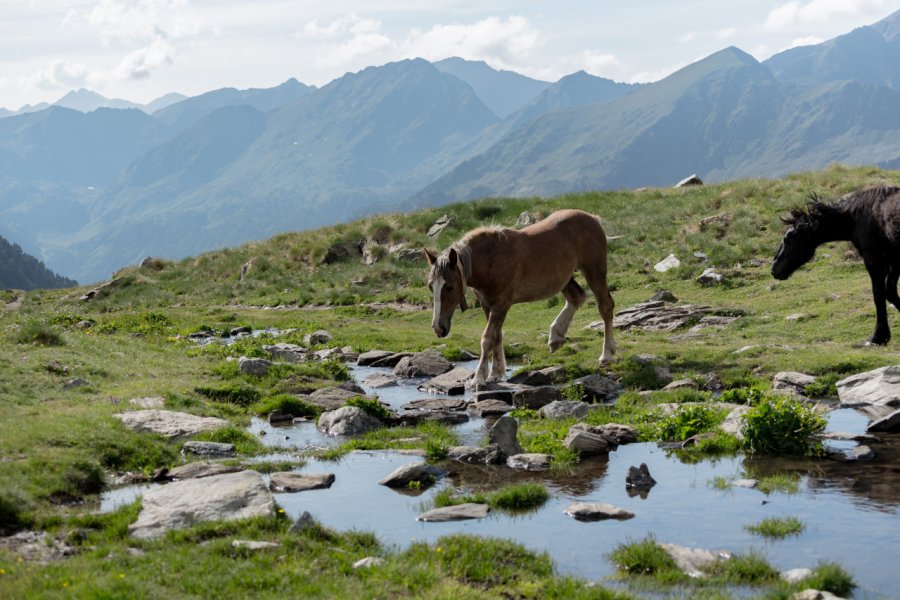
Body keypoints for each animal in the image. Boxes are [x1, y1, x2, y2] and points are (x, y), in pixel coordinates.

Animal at [426, 209, 616, 386]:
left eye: (449, 287)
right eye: (430, 286)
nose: (438, 328)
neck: (491, 259)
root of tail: (592, 218)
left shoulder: (501, 304)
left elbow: (488, 338)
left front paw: (479, 378)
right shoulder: (487, 305)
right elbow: (497, 336)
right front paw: (496, 373)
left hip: (594, 270)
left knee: (605, 305)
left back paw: (606, 354)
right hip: (565, 278)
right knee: (576, 297)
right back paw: (556, 336)